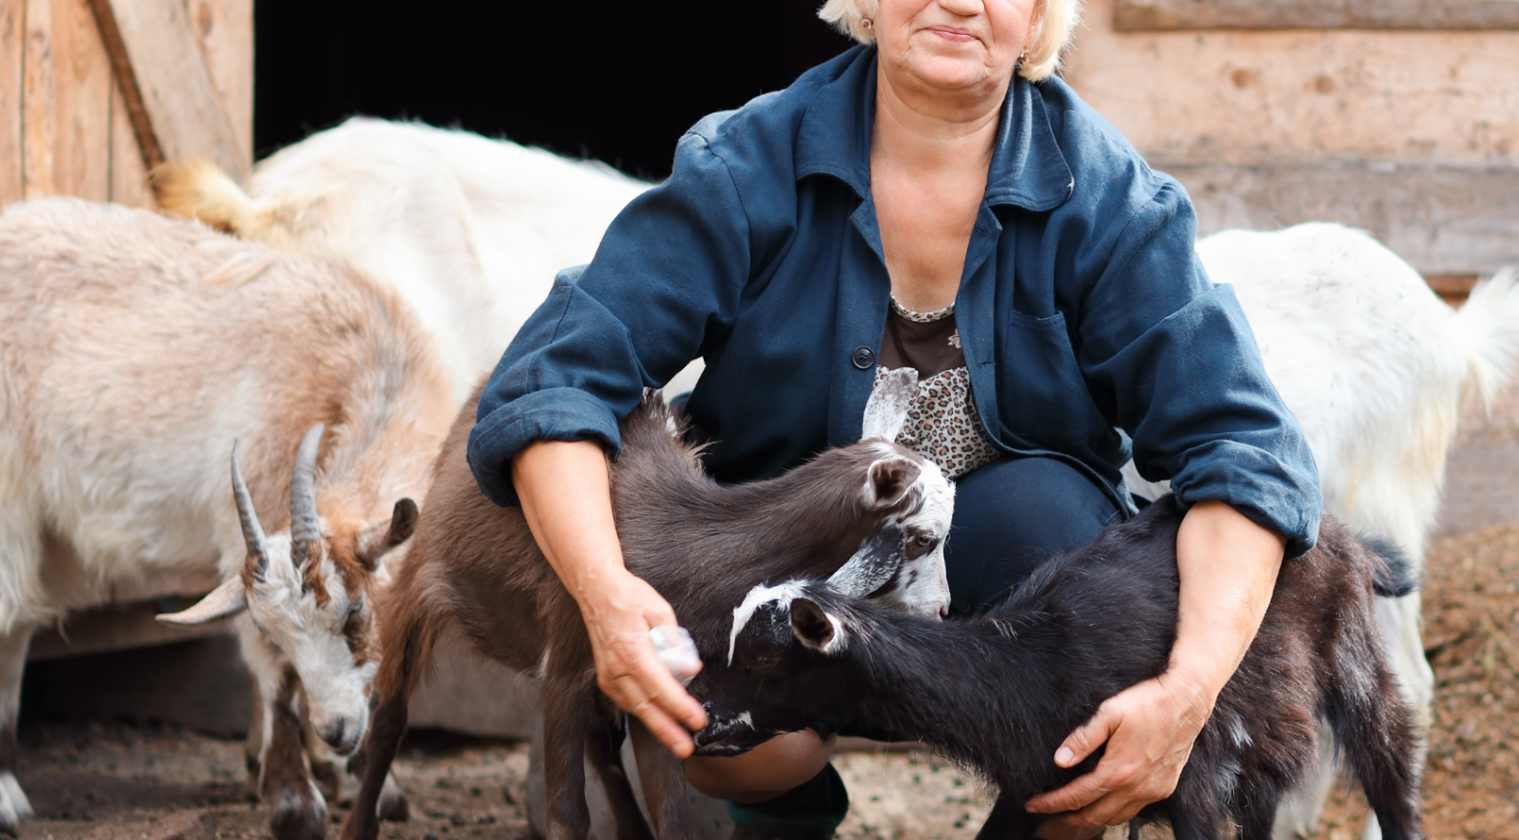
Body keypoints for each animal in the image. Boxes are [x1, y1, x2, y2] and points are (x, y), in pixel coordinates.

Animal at [0, 197, 455, 838]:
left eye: (354, 613)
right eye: (277, 633)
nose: (336, 731)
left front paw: (366, 783)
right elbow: (274, 679)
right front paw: (294, 802)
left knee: (17, 625)